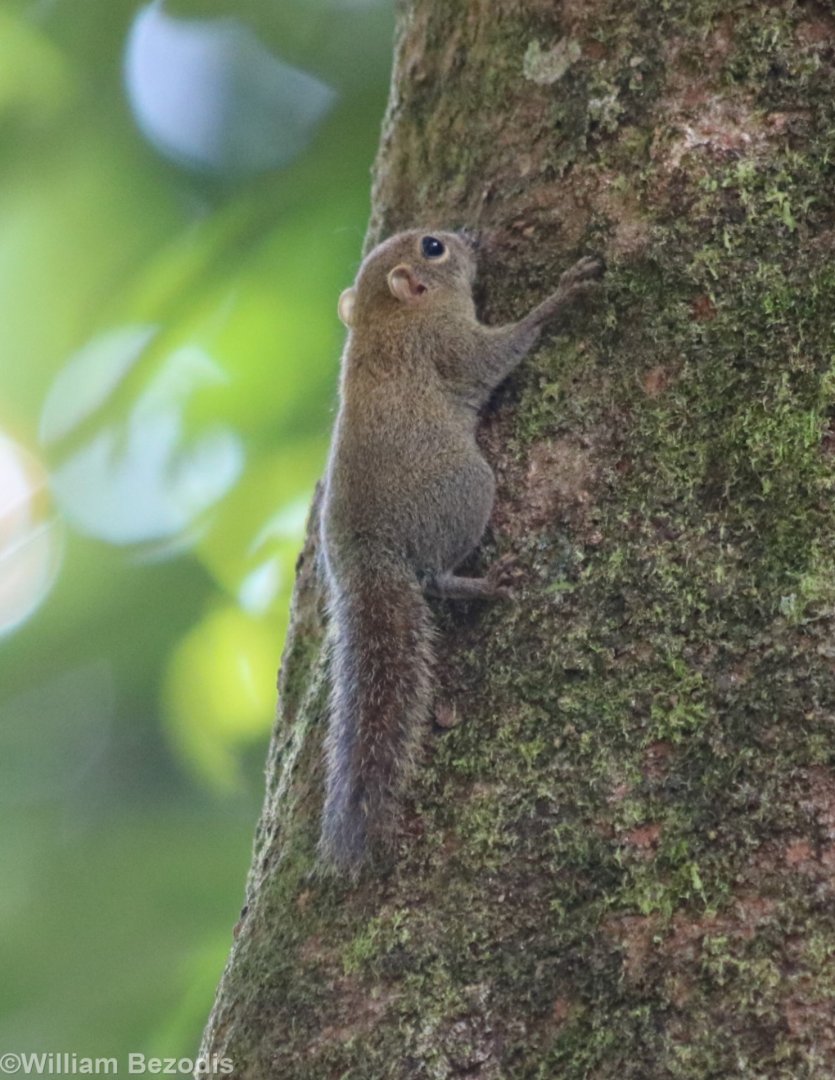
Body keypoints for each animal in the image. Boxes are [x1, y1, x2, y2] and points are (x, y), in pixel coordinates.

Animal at [317, 228, 604, 872]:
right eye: (433, 247)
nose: (470, 236)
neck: (384, 320)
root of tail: (366, 556)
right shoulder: (449, 347)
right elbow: (498, 353)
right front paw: (562, 295)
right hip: (467, 492)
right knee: (433, 578)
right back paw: (488, 583)